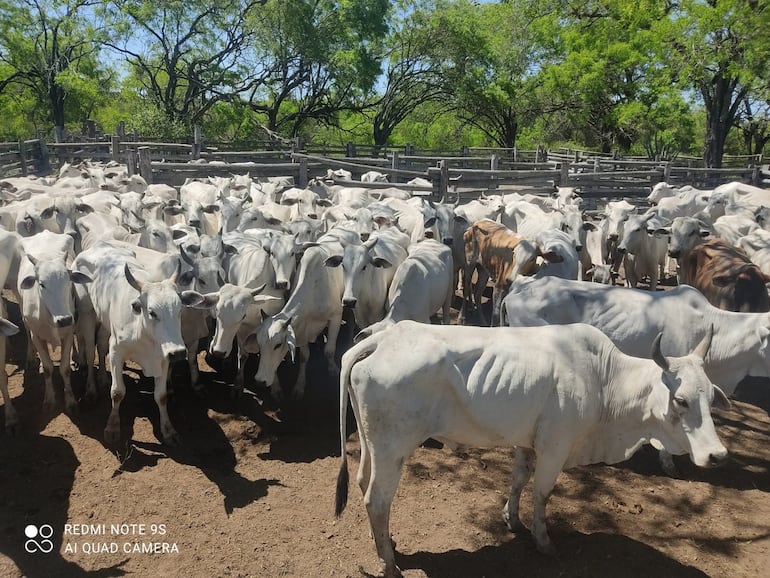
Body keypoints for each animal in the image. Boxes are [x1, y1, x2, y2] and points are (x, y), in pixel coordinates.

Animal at [336, 322, 728, 572]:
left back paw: (388, 543)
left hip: (373, 443)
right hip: (393, 447)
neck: (604, 378)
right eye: (681, 401)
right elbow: (542, 493)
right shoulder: (555, 446)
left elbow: (519, 479)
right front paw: (543, 540)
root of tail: (383, 338)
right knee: (377, 499)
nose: (718, 455)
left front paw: (511, 518)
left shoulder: (526, 442)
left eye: (710, 396)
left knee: (364, 482)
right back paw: (388, 563)